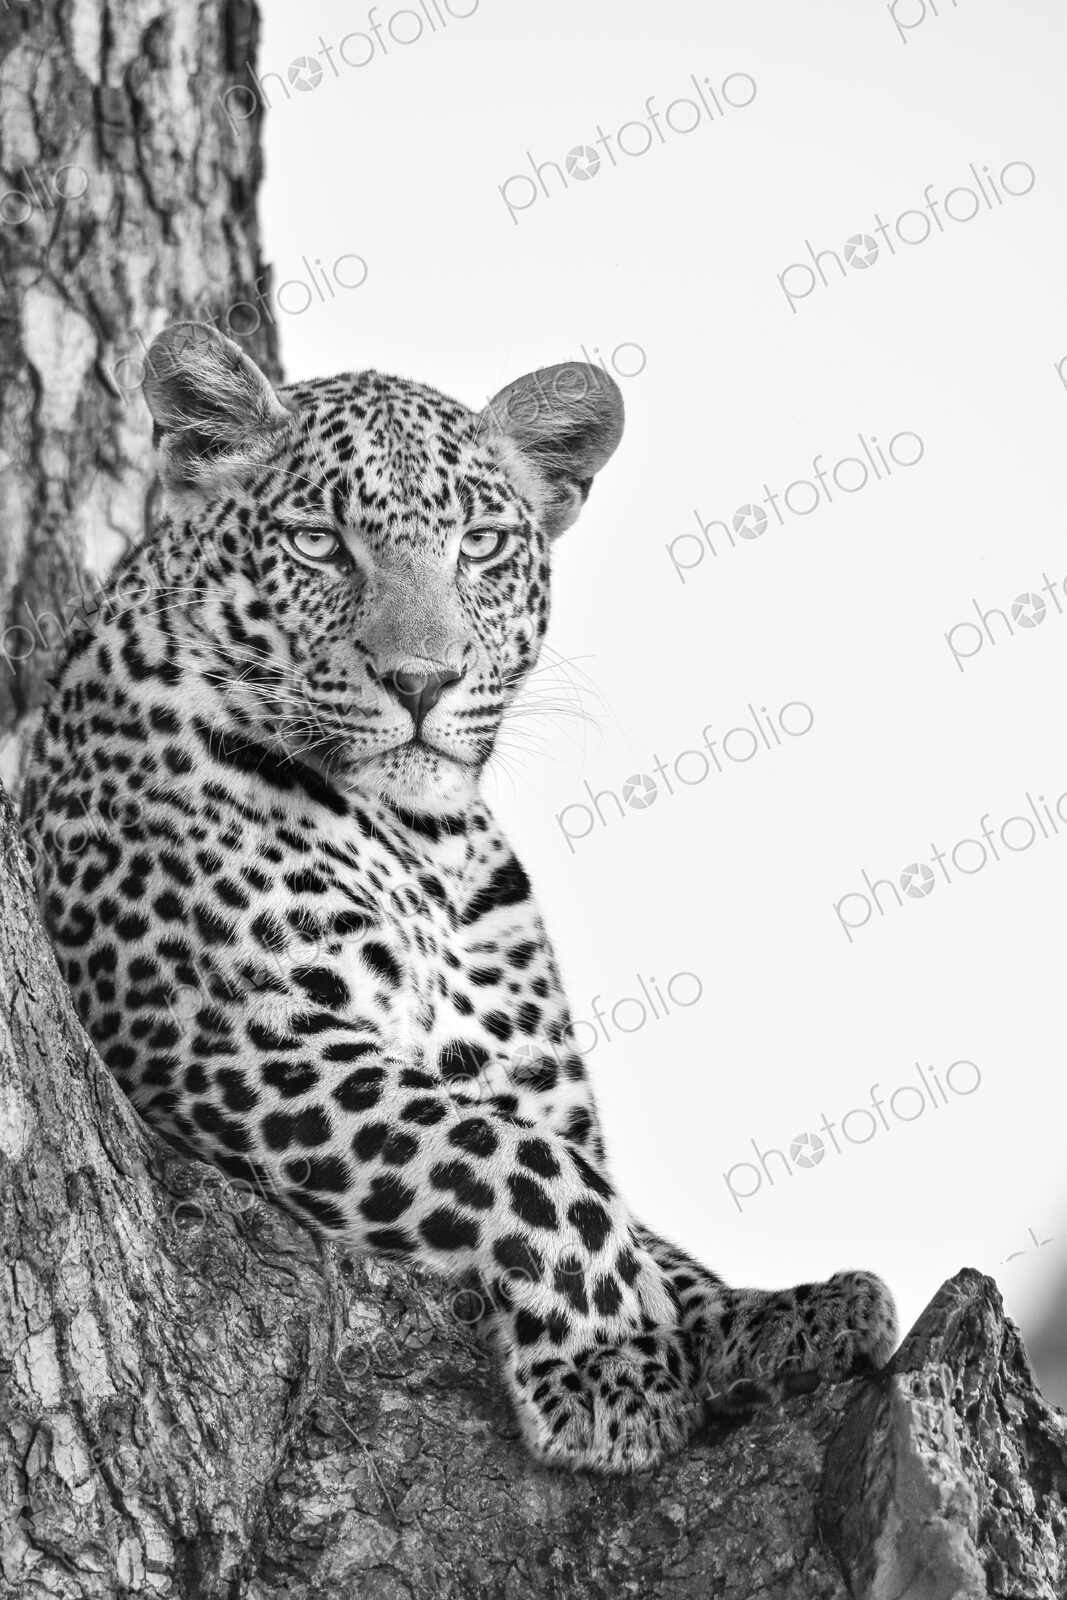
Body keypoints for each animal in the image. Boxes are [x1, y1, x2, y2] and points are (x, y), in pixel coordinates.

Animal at [21, 321, 897, 1473]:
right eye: (318, 544)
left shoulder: (520, 1082)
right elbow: (521, 1167)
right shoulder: (244, 1040)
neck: (425, 849)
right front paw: (609, 1369)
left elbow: (639, 1226)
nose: (421, 680)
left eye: (478, 545)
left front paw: (784, 1313)